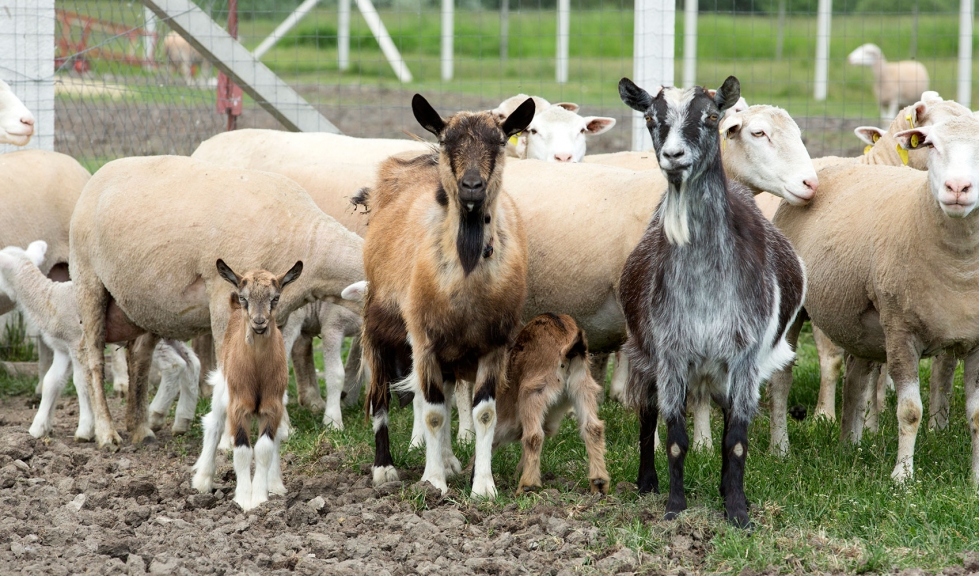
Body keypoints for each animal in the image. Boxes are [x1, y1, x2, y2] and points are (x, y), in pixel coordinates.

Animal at [189, 258, 300, 510]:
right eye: (244, 297)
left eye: (275, 298)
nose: (259, 323)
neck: (256, 371)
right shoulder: (238, 405)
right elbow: (242, 450)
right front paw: (243, 499)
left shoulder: (272, 405)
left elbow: (264, 448)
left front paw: (259, 497)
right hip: (222, 387)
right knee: (213, 423)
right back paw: (202, 480)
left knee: (277, 436)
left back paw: (275, 483)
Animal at [360, 93, 536, 496]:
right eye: (446, 141)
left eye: (499, 141)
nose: (472, 186)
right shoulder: (424, 341)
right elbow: (434, 413)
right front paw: (433, 482)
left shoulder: (493, 345)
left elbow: (483, 413)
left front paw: (483, 485)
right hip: (377, 324)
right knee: (380, 398)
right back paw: (385, 469)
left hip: (451, 351)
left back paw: (451, 460)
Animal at [498, 316, 612, 496]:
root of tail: (567, 348)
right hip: (584, 388)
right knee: (593, 427)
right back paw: (599, 482)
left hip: (533, 393)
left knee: (534, 436)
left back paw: (526, 485)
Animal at [620, 79, 804, 528]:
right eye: (650, 118)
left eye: (711, 116)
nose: (673, 155)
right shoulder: (669, 353)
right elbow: (674, 437)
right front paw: (674, 507)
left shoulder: (745, 356)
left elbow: (735, 440)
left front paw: (737, 511)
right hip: (644, 353)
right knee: (647, 413)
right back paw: (646, 482)